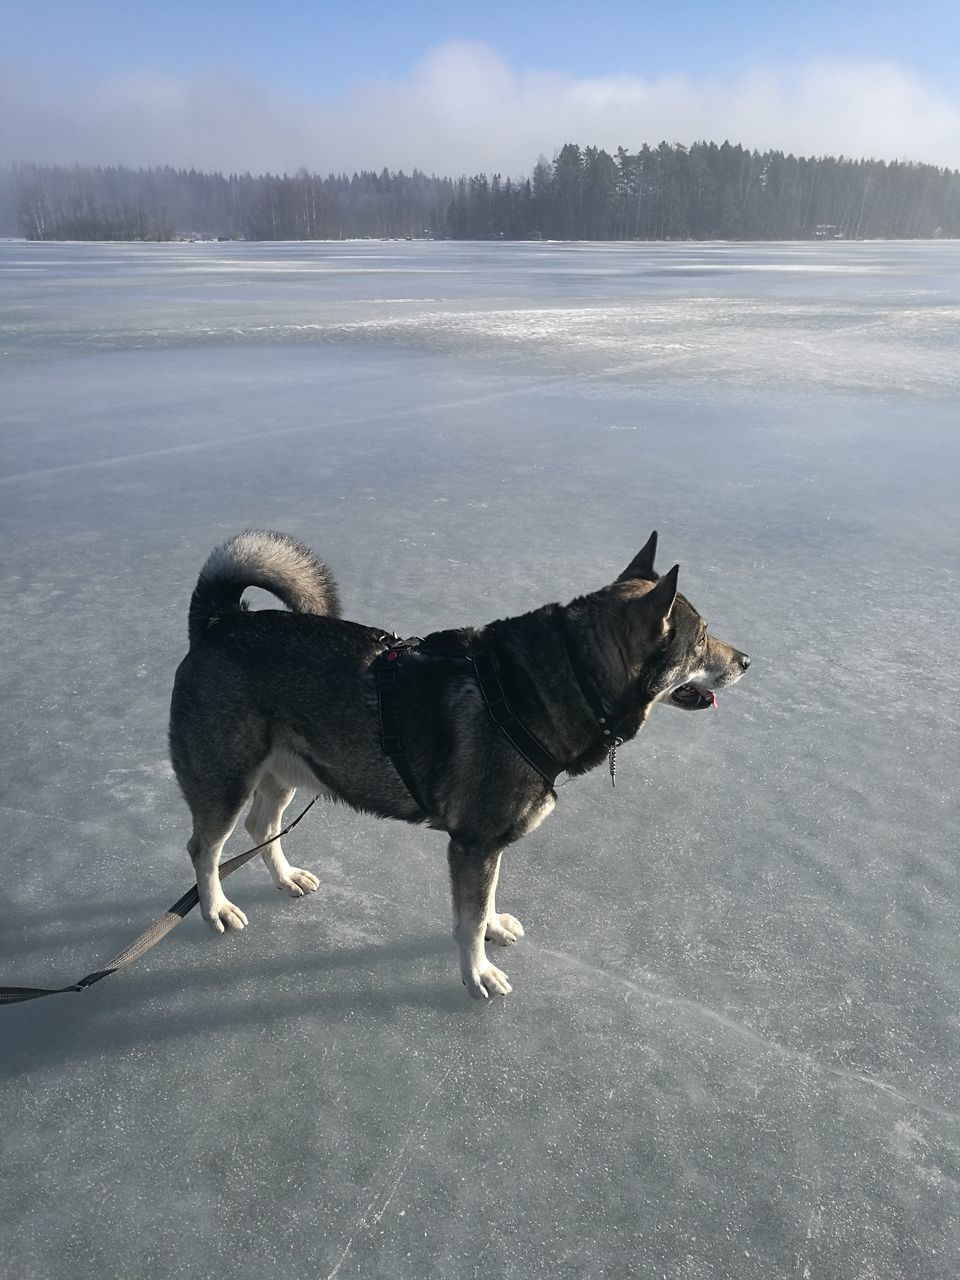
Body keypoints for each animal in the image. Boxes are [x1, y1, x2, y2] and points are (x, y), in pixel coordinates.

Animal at [167, 529, 752, 998]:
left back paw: (286, 878)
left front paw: (493, 927)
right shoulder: (472, 843)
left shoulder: (488, 842)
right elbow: (466, 922)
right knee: (205, 848)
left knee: (261, 826)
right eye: (702, 639)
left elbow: (484, 900)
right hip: (226, 780)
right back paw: (216, 908)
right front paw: (479, 975)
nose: (747, 661)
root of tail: (219, 621)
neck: (562, 680)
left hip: (286, 772)